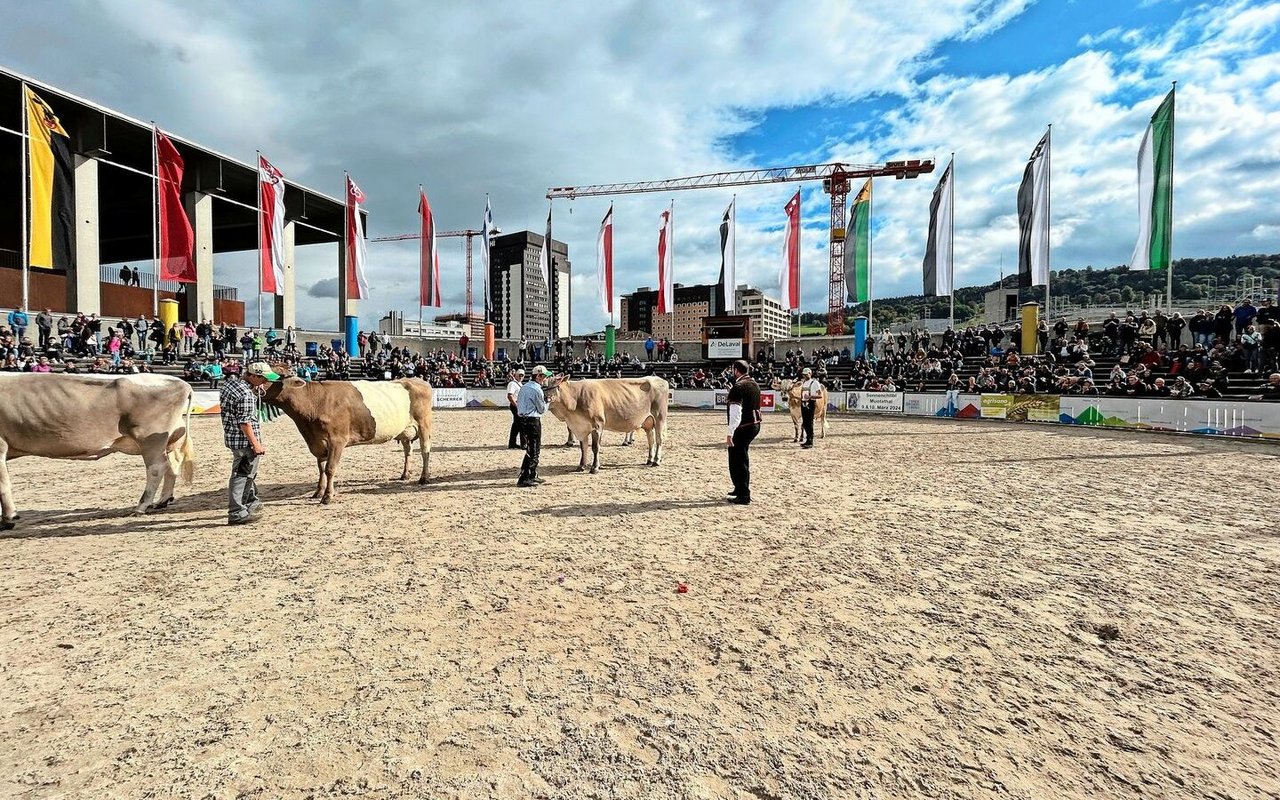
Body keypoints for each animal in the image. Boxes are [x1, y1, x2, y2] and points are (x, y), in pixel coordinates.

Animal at [0, 373, 194, 529]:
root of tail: (182, 383)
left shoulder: (1, 445)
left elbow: (3, 484)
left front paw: (8, 519)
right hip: (169, 440)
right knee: (172, 465)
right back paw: (163, 500)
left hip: (150, 439)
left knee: (156, 468)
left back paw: (142, 506)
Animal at [264, 373, 435, 499]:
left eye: (274, 379)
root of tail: (417, 379)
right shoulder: (318, 442)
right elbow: (320, 469)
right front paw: (318, 491)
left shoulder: (337, 440)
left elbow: (330, 469)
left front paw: (327, 496)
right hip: (405, 430)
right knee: (408, 451)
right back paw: (405, 474)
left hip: (424, 424)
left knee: (425, 450)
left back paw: (424, 477)